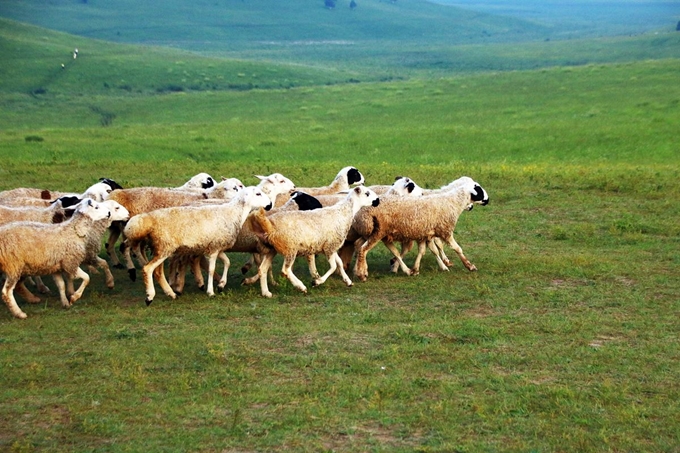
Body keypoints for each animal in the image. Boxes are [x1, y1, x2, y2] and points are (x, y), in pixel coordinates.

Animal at [123, 185, 272, 306]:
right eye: (258, 194)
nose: (270, 204)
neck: (233, 213)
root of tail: (148, 220)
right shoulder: (214, 249)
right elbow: (211, 269)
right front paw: (211, 291)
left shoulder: (216, 245)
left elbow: (227, 262)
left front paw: (221, 284)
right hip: (164, 247)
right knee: (148, 269)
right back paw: (150, 297)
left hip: (161, 248)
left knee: (158, 272)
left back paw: (171, 293)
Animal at [250, 185, 380, 298]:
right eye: (367, 193)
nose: (378, 200)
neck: (344, 212)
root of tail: (269, 226)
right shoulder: (329, 247)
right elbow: (333, 267)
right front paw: (317, 281)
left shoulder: (332, 246)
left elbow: (339, 263)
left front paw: (347, 281)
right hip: (290, 248)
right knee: (285, 270)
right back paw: (301, 286)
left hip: (271, 249)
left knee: (262, 269)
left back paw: (266, 293)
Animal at [350, 177, 488, 280]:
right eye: (479, 190)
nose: (487, 200)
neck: (452, 202)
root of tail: (363, 210)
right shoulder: (445, 231)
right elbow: (456, 248)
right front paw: (469, 266)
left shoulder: (425, 233)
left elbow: (425, 250)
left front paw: (416, 269)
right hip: (377, 233)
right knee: (363, 249)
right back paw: (362, 273)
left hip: (372, 233)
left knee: (359, 245)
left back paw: (360, 269)